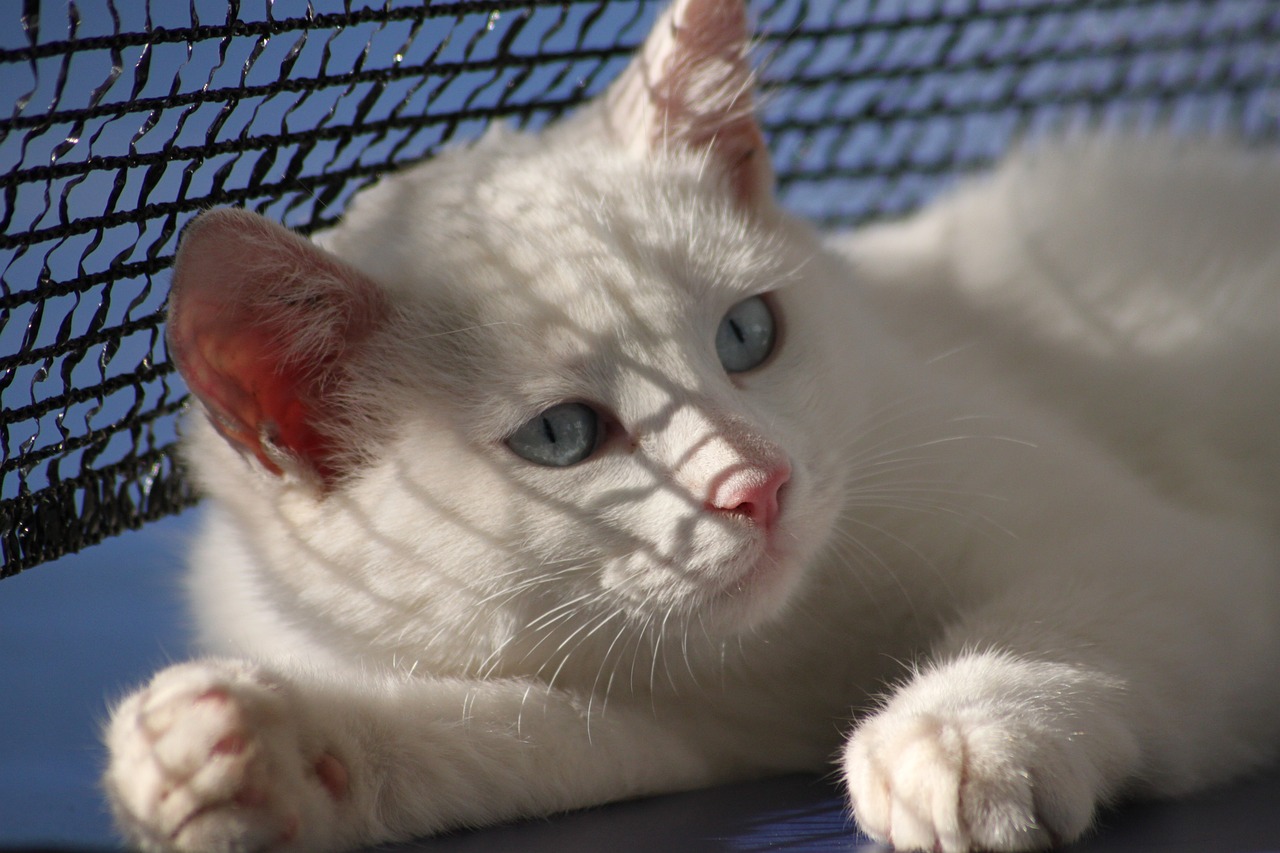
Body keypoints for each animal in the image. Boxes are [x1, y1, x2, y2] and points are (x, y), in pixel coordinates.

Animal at [104, 0, 1280, 845]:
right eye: (563, 436)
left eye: (748, 332)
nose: (756, 486)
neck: (784, 646)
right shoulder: (677, 721)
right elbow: (521, 736)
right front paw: (239, 747)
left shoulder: (1180, 555)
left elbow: (1090, 602)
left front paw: (957, 733)